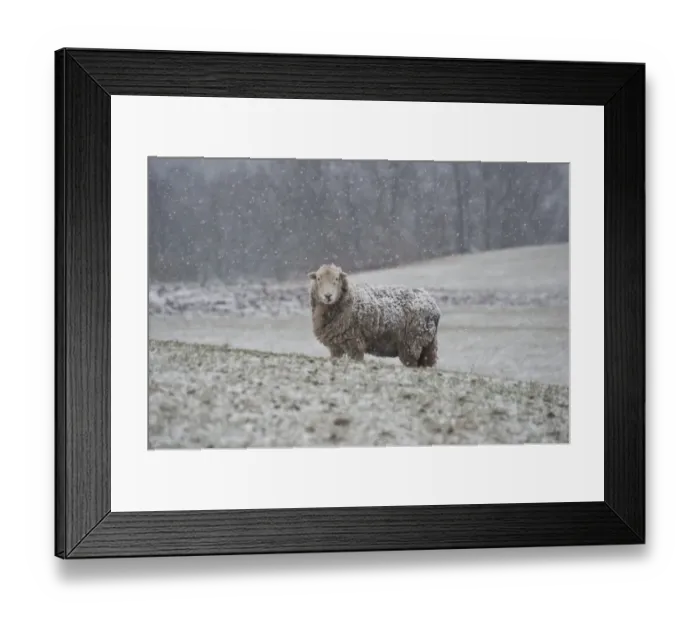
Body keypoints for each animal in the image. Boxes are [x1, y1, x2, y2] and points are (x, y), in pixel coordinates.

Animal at [307, 263, 441, 368]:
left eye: (336, 279)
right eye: (318, 278)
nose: (328, 296)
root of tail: (435, 308)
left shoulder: (354, 343)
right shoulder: (335, 347)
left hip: (412, 343)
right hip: (428, 345)